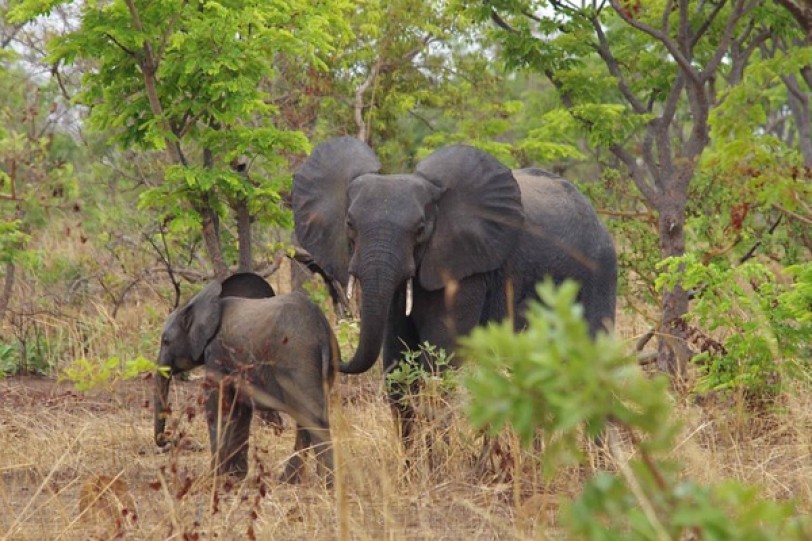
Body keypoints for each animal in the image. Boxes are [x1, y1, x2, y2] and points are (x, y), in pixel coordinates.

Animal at [153, 272, 340, 484]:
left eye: (166, 342)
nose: (166, 439)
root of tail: (322, 330)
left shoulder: (216, 353)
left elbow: (217, 404)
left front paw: (215, 479)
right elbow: (240, 408)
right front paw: (235, 478)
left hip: (298, 359)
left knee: (312, 417)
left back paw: (327, 484)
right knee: (306, 417)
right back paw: (289, 481)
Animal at [292, 135, 616, 438]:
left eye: (420, 230)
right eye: (349, 224)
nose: (332, 356)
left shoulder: (465, 269)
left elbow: (438, 363)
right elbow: (397, 369)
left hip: (599, 272)